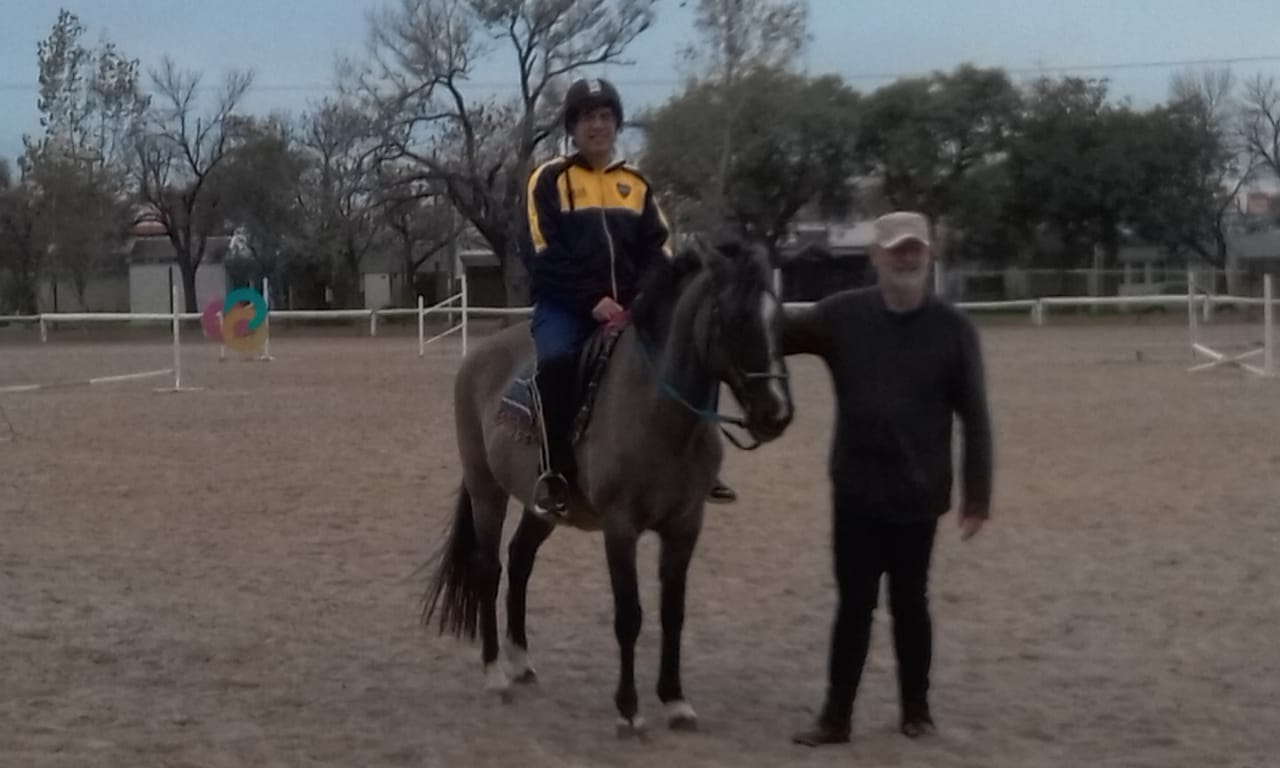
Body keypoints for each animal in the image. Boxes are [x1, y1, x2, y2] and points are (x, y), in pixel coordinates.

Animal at [419, 235, 793, 737]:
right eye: (735, 319)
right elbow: (629, 614)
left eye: (780, 320)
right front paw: (629, 709)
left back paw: (521, 661)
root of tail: (479, 357)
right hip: (486, 491)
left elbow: (673, 612)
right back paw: (496, 673)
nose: (776, 413)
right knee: (488, 569)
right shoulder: (620, 527)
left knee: (520, 560)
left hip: (541, 505)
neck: (659, 414)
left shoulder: (685, 526)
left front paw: (675, 700)